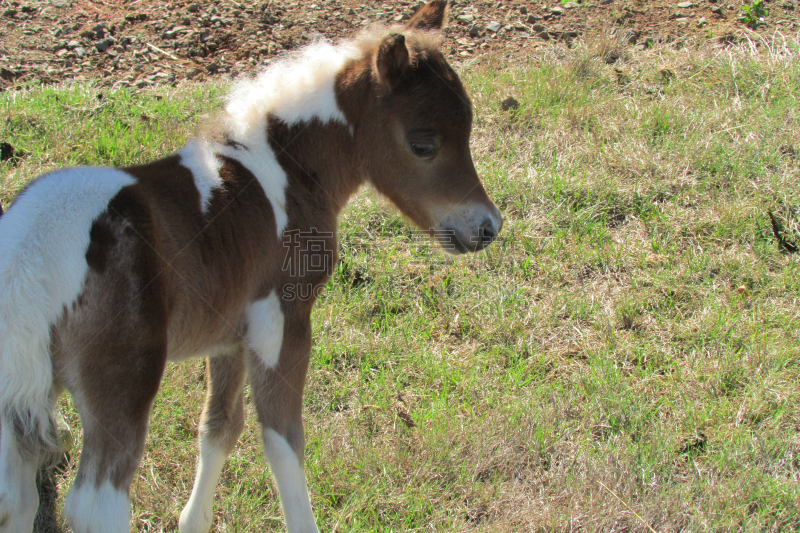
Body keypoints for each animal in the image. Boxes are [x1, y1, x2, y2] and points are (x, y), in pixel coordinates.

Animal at [0, 2, 500, 528]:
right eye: (423, 144)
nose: (488, 226)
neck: (281, 169)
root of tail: (27, 260)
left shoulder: (228, 335)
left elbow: (219, 426)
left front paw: (192, 522)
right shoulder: (282, 322)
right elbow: (282, 440)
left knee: (16, 497)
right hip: (122, 384)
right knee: (95, 505)